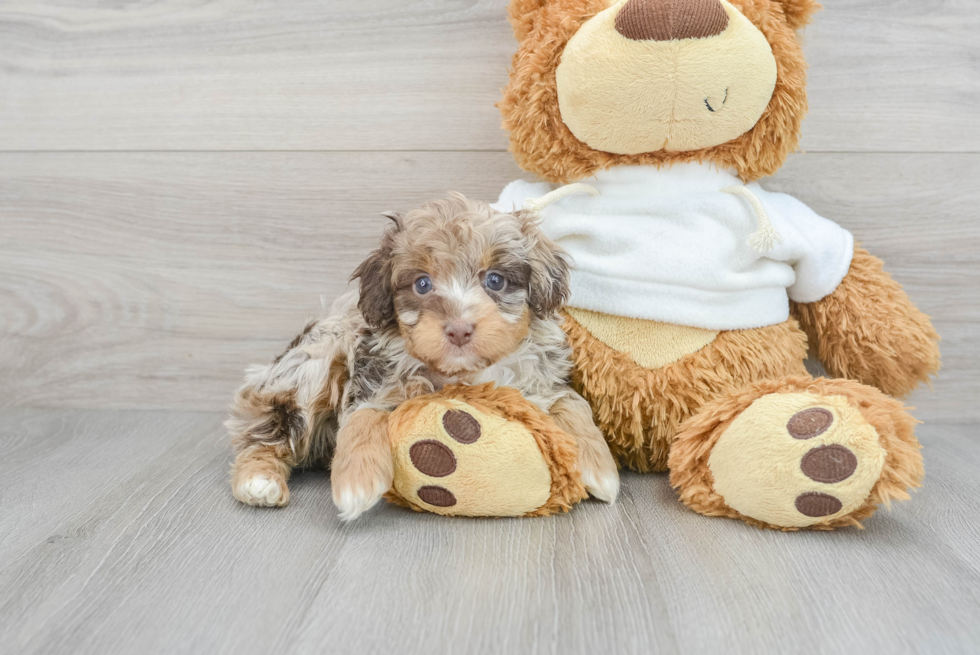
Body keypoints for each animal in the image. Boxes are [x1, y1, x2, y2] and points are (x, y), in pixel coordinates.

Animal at [226, 192, 616, 520]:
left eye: (495, 280)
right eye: (422, 284)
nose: (459, 329)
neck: (462, 373)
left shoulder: (541, 382)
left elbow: (574, 402)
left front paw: (600, 469)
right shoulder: (374, 380)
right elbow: (363, 416)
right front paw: (356, 482)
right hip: (311, 366)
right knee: (267, 435)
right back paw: (259, 480)